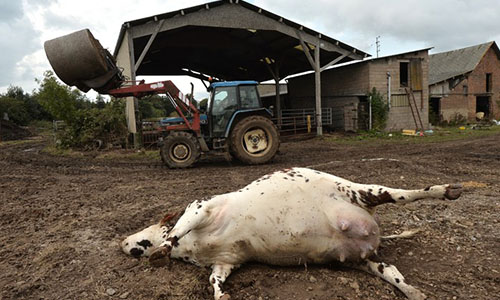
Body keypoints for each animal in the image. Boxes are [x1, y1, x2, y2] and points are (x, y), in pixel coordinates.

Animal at [120, 168, 460, 298]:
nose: (122, 241)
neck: (191, 249)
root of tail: (373, 232)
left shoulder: (201, 208)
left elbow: (173, 233)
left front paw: (161, 250)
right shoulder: (226, 261)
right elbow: (214, 280)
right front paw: (221, 294)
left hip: (365, 191)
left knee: (408, 194)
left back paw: (448, 190)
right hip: (361, 260)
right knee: (391, 271)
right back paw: (414, 292)